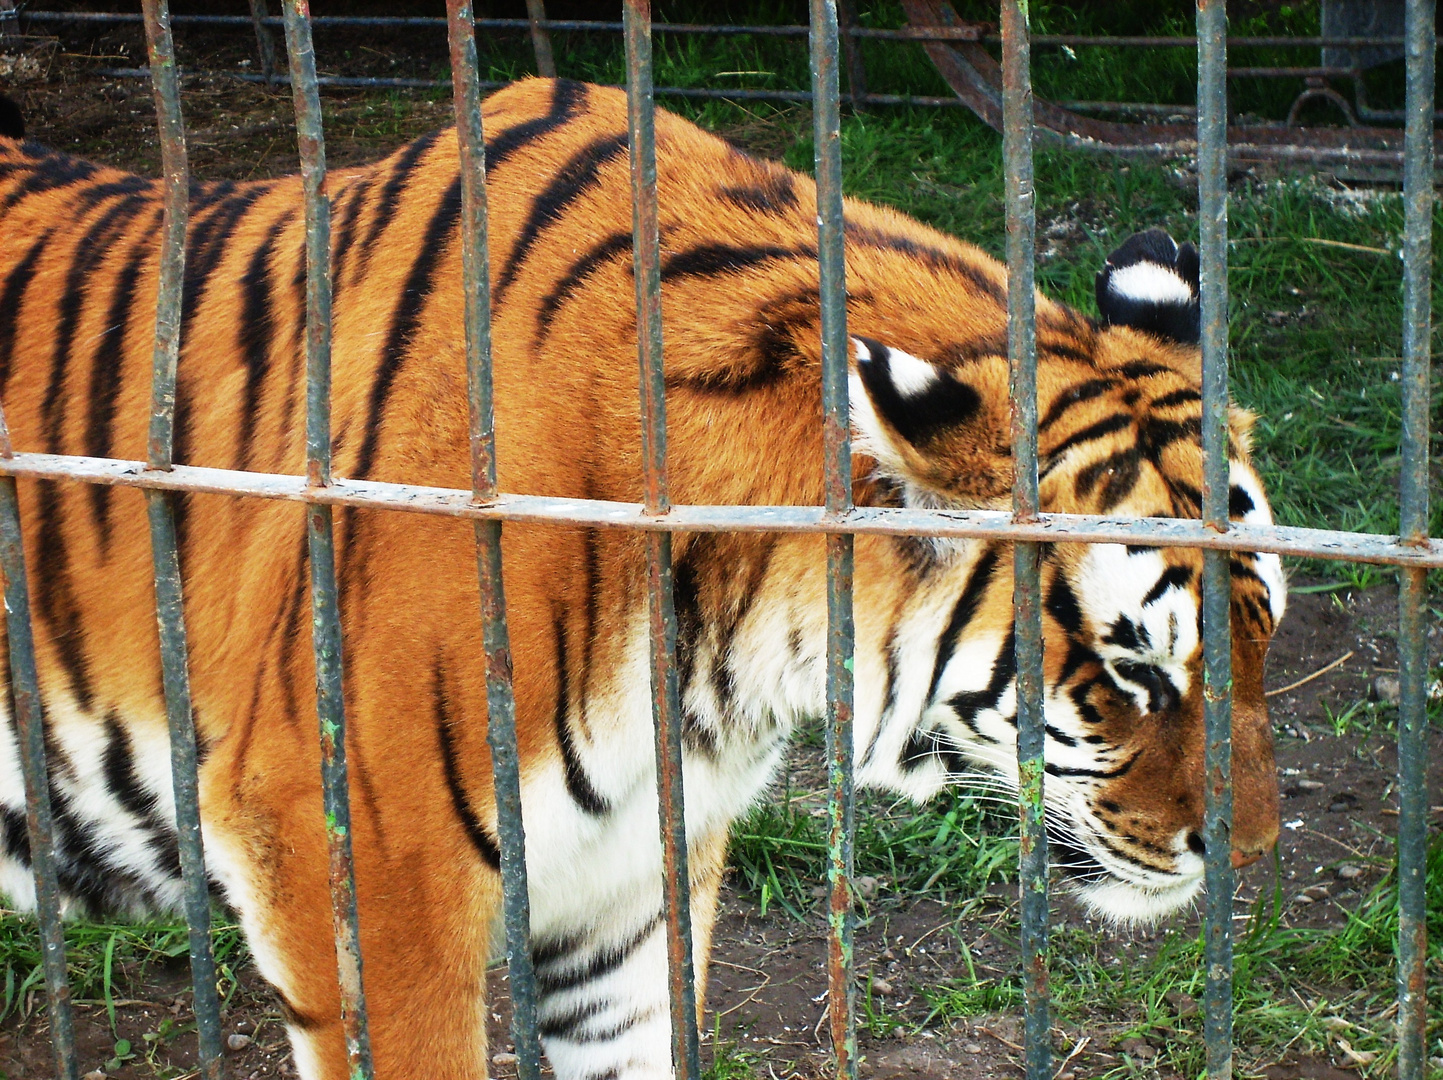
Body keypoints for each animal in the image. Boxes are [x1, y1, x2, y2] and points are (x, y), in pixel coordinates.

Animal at [0, 77, 1287, 1080]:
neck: (719, 646)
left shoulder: (635, 883)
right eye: (1132, 671)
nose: (1256, 856)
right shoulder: (362, 868)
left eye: (1266, 632)